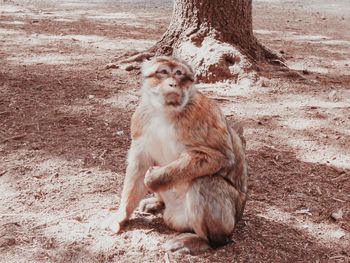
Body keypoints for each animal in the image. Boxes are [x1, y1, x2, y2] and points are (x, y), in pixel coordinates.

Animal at [106, 56, 249, 256]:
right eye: (163, 72)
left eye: (179, 73)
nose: (173, 83)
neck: (166, 111)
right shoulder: (141, 117)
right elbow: (140, 164)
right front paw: (122, 214)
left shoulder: (202, 112)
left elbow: (220, 156)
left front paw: (155, 178)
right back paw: (157, 204)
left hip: (227, 220)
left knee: (205, 182)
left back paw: (203, 241)